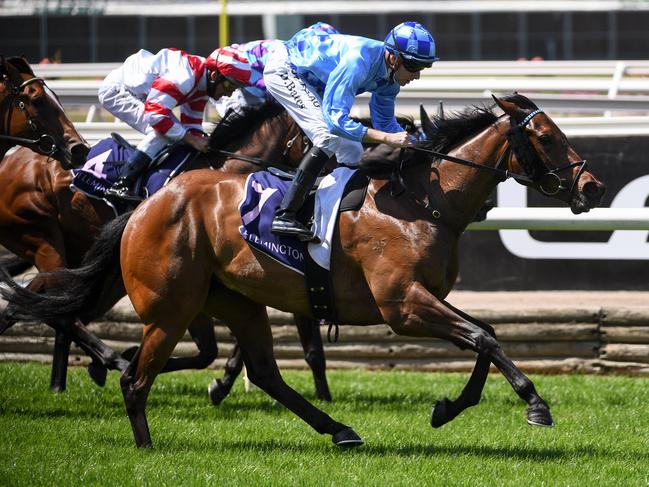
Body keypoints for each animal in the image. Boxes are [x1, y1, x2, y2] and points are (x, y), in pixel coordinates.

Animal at [1, 93, 608, 448]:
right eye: (547, 136)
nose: (593, 186)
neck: (422, 201)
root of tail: (147, 203)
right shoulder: (403, 305)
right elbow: (484, 337)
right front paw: (535, 404)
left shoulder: (423, 296)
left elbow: (486, 336)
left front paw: (447, 408)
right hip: (169, 304)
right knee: (134, 372)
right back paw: (139, 430)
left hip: (234, 300)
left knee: (266, 373)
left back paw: (338, 430)